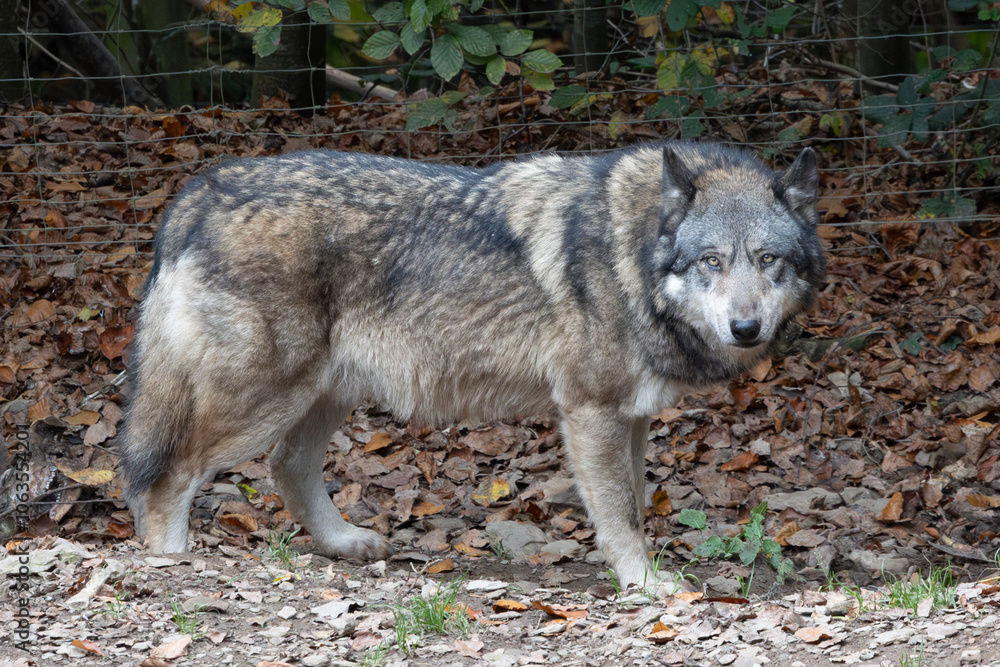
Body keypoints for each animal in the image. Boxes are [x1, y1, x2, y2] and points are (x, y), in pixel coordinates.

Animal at [120, 141, 824, 594]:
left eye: (768, 260)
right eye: (711, 261)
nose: (745, 328)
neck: (633, 257)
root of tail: (196, 194)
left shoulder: (632, 418)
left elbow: (634, 508)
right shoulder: (591, 411)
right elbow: (621, 517)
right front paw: (649, 587)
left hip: (323, 396)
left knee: (287, 467)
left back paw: (346, 544)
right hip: (261, 402)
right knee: (166, 479)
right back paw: (172, 565)